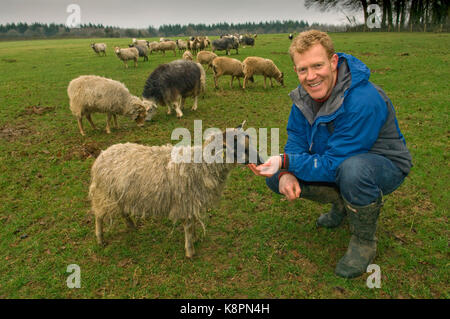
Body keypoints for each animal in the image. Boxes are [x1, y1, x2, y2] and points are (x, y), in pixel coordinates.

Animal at [89, 122, 264, 258]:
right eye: (240, 147)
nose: (261, 161)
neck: (201, 166)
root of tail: (102, 155)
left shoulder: (191, 201)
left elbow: (192, 223)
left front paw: (194, 238)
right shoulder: (185, 201)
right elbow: (188, 225)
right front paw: (190, 251)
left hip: (120, 193)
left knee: (122, 210)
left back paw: (131, 225)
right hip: (104, 194)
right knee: (99, 216)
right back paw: (100, 238)